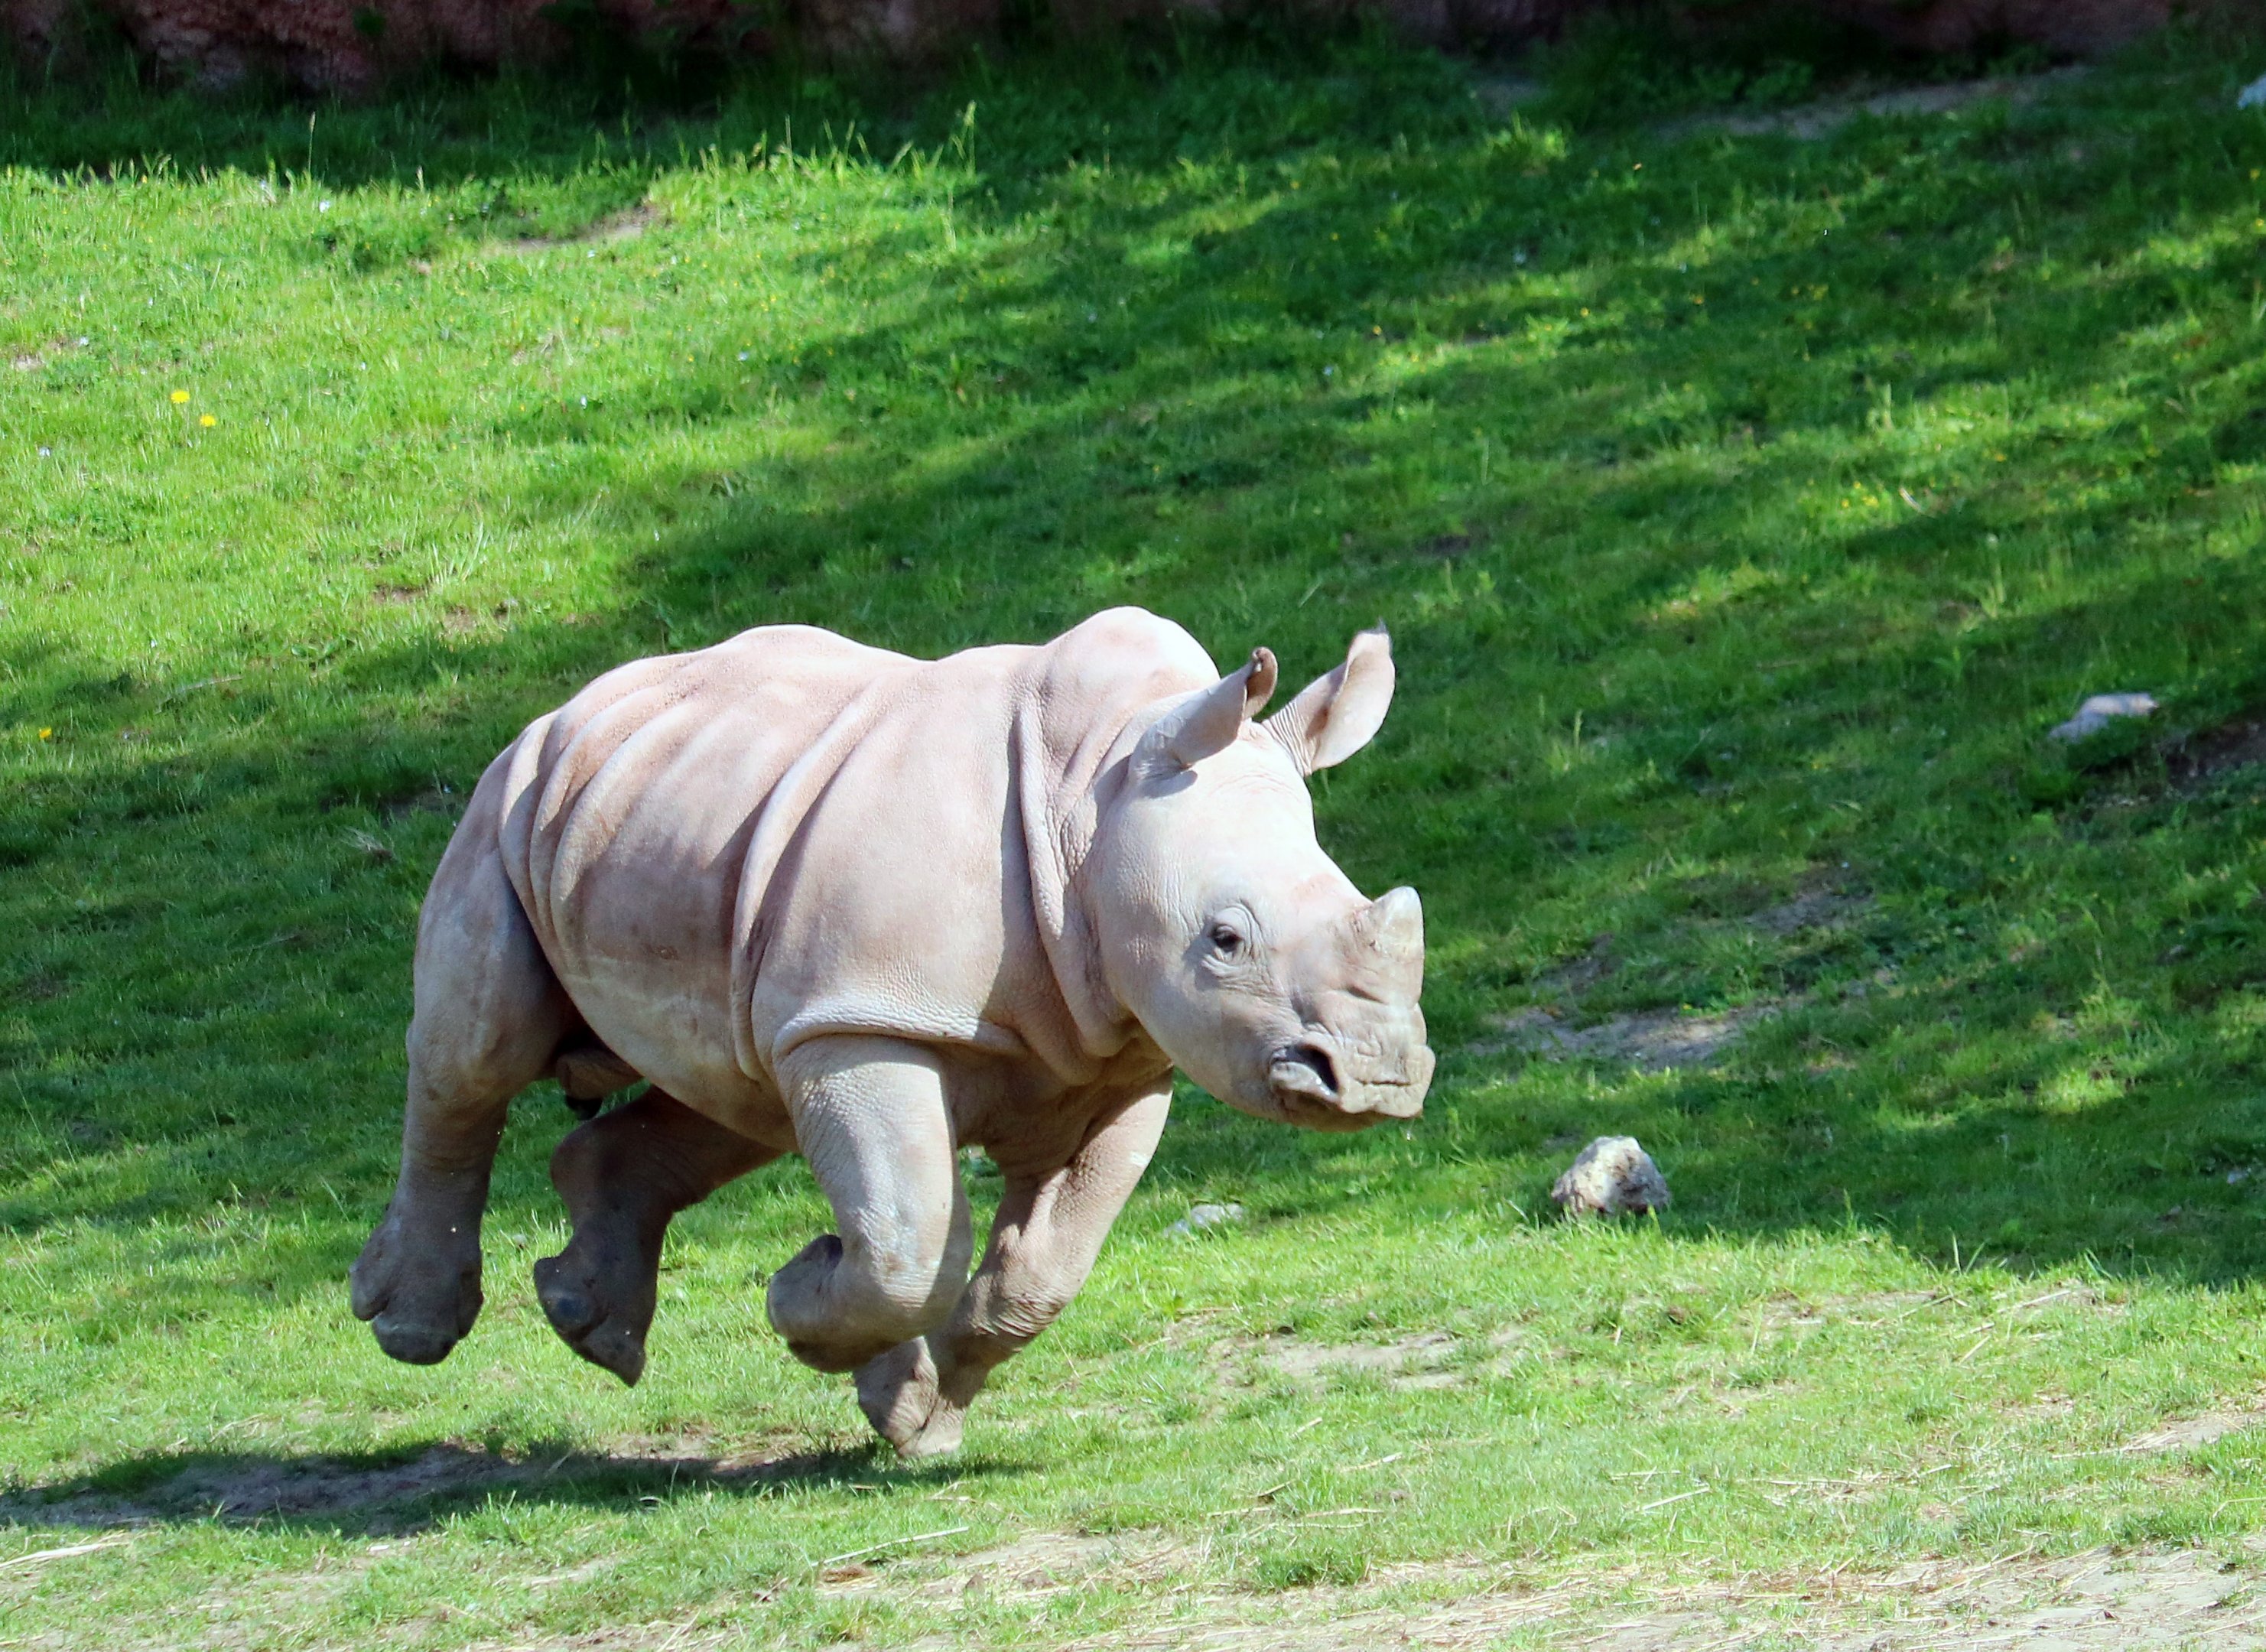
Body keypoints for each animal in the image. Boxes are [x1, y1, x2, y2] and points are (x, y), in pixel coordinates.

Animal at [351, 606, 1433, 1457]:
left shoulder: (1122, 1056)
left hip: (684, 830)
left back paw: (589, 1326)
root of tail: (572, 705)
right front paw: (801, 1297)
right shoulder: (868, 1018)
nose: (1380, 1077)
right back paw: (411, 1329)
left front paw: (908, 1416)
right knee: (476, 1055)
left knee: (736, 1093)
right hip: (506, 804)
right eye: (1224, 939)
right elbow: (910, 1238)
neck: (1093, 802)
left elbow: (1037, 1274)